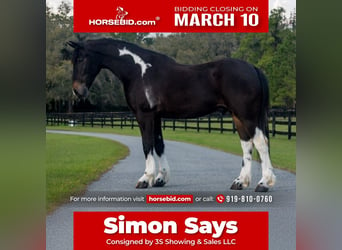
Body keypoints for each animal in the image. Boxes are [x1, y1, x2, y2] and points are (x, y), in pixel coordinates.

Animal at [68, 38, 276, 191]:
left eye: (81, 59)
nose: (77, 91)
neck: (138, 70)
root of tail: (253, 68)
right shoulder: (156, 116)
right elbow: (159, 145)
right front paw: (160, 179)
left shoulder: (145, 115)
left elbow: (147, 145)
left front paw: (146, 179)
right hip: (237, 116)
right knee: (247, 144)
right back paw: (240, 182)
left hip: (247, 115)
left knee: (260, 143)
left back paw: (264, 183)